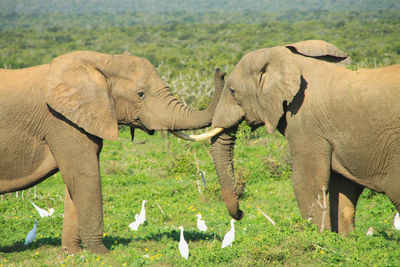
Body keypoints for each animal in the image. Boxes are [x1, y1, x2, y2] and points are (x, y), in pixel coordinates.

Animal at [0, 50, 223, 255]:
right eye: (141, 94)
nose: (219, 72)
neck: (101, 61)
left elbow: (74, 183)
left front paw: (74, 254)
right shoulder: (60, 121)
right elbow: (85, 176)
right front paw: (101, 253)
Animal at [183, 39, 400, 234]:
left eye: (233, 92)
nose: (242, 213)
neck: (284, 57)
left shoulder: (305, 122)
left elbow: (305, 181)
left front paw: (318, 239)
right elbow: (343, 187)